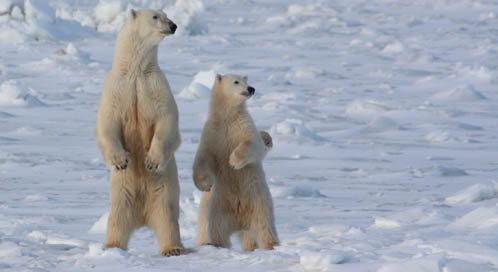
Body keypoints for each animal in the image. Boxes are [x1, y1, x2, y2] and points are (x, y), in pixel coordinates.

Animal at [95, 9, 183, 256]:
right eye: (155, 16)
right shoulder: (118, 87)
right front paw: (121, 160)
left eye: (166, 14)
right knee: (118, 217)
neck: (136, 70)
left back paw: (172, 248)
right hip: (122, 189)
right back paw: (112, 245)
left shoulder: (155, 86)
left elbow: (166, 119)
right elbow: (107, 122)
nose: (173, 25)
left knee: (166, 216)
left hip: (164, 187)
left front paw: (151, 161)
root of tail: (143, 218)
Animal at [194, 73, 280, 250]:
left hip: (258, 203)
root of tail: (240, 222)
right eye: (236, 81)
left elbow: (252, 144)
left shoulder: (243, 126)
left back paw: (270, 245)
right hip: (219, 209)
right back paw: (215, 244)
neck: (228, 116)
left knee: (264, 228)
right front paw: (205, 184)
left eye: (246, 80)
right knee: (217, 230)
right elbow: (204, 157)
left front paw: (233, 160)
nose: (251, 88)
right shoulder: (213, 133)